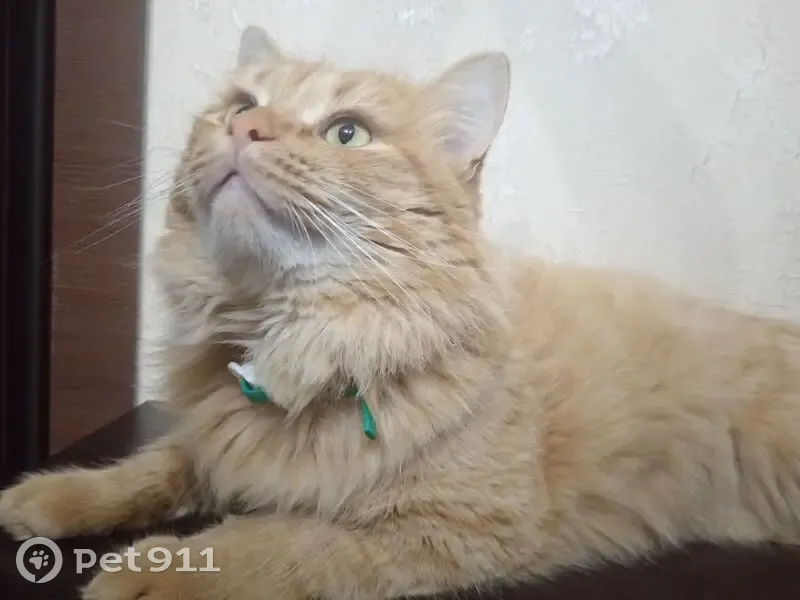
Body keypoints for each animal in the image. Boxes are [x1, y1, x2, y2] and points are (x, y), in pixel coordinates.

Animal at [2, 24, 800, 600]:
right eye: (241, 105)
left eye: (347, 132)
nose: (246, 130)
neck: (299, 336)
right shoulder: (216, 433)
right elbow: (150, 466)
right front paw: (53, 495)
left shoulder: (447, 529)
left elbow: (269, 545)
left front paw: (152, 572)